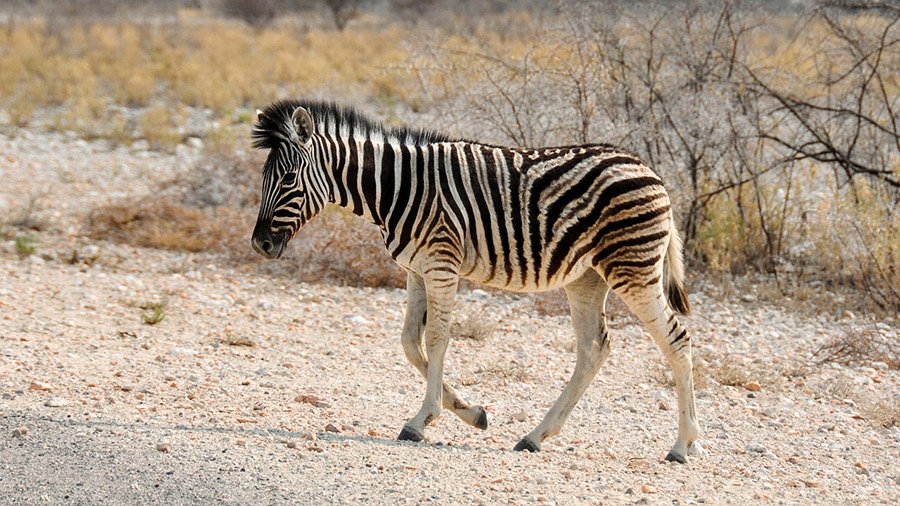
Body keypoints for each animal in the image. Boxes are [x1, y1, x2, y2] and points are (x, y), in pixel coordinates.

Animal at [250, 99, 703, 463]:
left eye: (288, 179)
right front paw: (471, 413)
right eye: (264, 179)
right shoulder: (415, 270)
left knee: (676, 340)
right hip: (587, 278)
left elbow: (436, 339)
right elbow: (410, 342)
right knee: (594, 349)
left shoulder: (440, 264)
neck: (397, 189)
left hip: (633, 269)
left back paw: (683, 445)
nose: (260, 243)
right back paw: (536, 437)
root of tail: (650, 171)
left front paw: (421, 421)